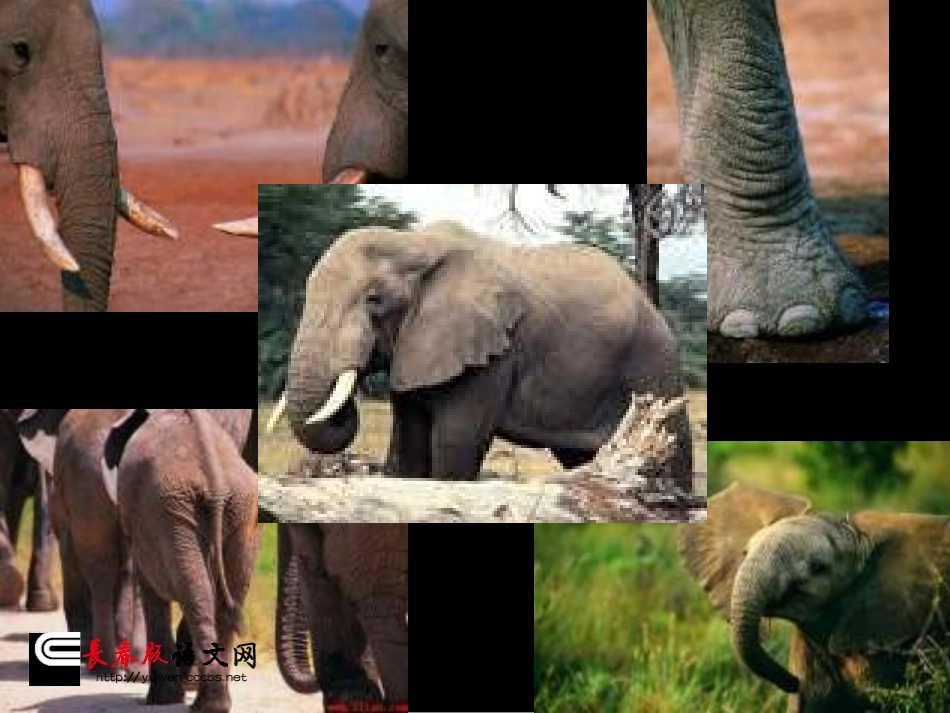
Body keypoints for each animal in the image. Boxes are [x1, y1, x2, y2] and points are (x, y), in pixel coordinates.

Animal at [104, 409, 259, 712]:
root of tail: (215, 477)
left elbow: (150, 589)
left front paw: (160, 700)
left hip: (171, 510)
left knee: (196, 593)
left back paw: (198, 704)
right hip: (237, 509)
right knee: (219, 595)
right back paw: (214, 704)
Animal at [277, 220, 692, 483]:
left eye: (374, 301)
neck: (415, 243)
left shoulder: (493, 353)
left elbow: (456, 440)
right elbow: (409, 444)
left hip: (654, 367)